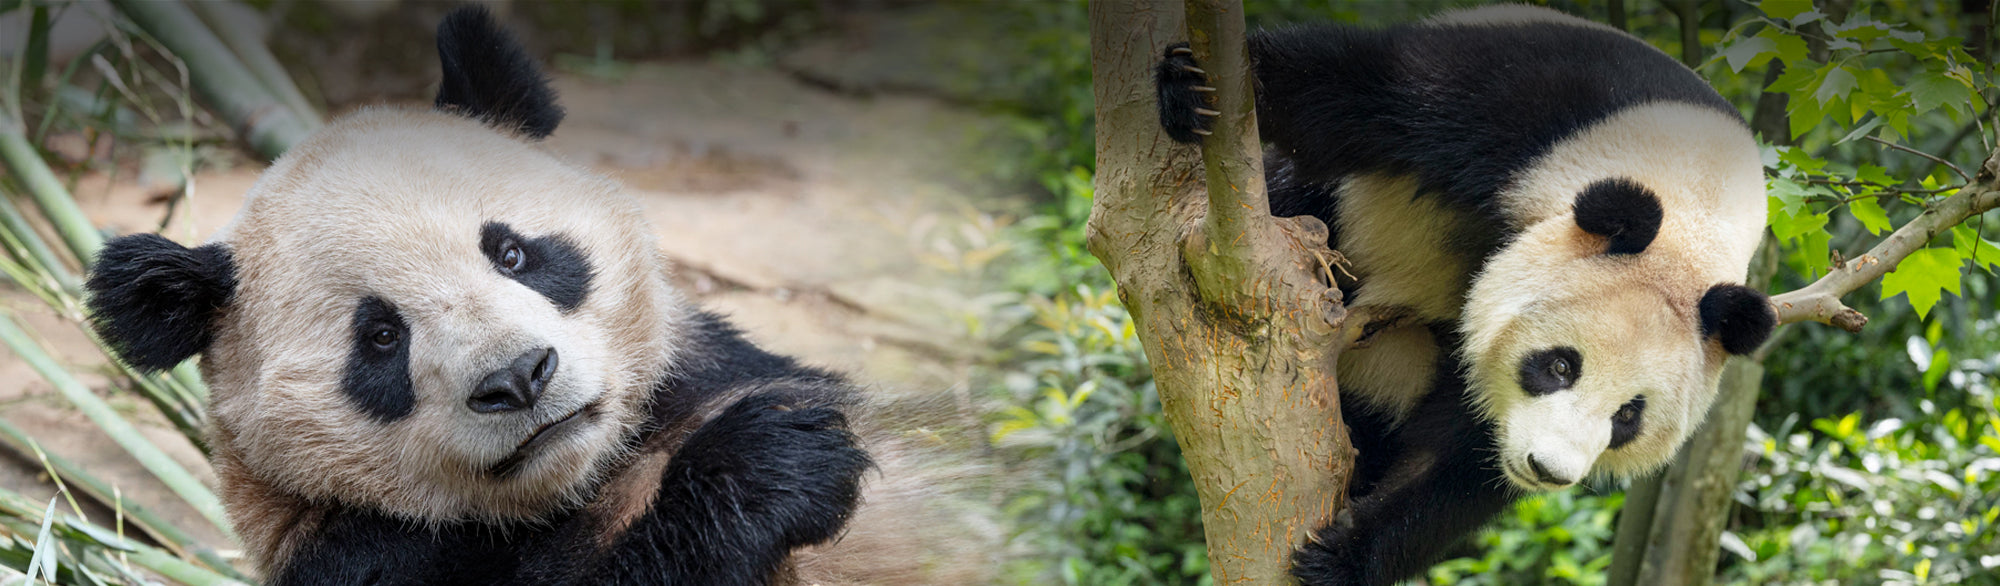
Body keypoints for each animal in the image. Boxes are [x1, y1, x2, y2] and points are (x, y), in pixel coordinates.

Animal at [81, 7, 987, 585]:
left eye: (513, 252)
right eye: (381, 337)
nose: (518, 378)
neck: (576, 484)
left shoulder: (711, 374)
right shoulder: (365, 554)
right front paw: (767, 463)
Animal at [1154, 5, 1777, 585]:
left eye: (1629, 415)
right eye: (1560, 366)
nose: (1548, 469)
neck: (1693, 206)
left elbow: (1460, 465)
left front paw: (1341, 555)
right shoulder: (1534, 107)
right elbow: (1353, 95)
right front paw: (1189, 88)